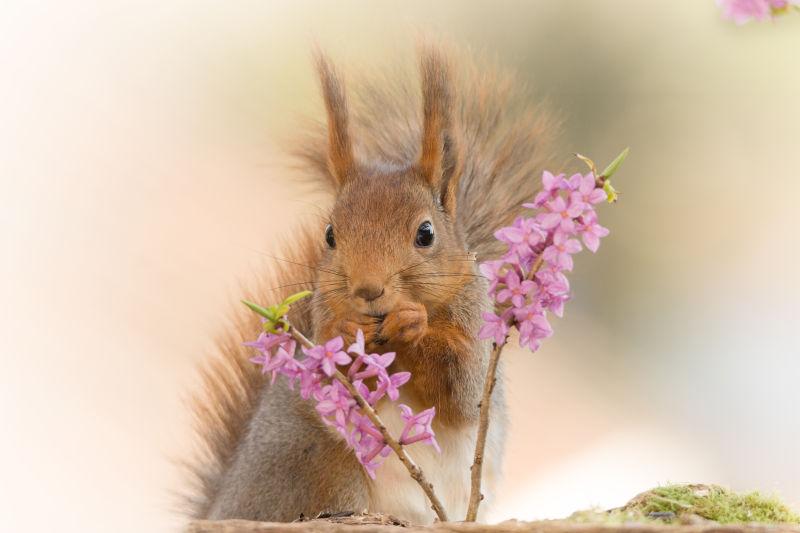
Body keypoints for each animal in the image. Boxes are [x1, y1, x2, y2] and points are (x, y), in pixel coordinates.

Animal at [183, 42, 556, 524]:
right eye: (329, 235)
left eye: (426, 233)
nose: (368, 290)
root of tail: (222, 505)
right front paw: (346, 335)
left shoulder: (476, 330)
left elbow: (461, 391)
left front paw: (414, 323)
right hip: (322, 466)